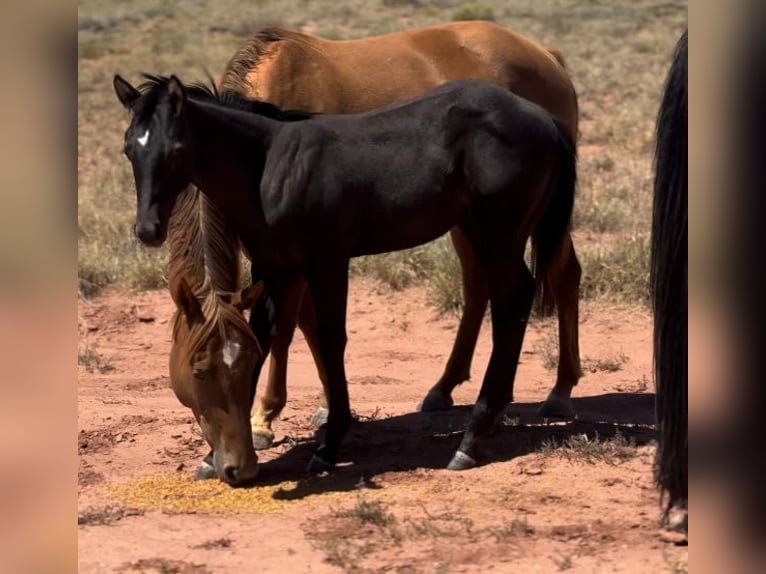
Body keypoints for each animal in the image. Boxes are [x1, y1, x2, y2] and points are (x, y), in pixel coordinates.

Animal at [216, 21, 584, 450]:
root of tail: (545, 55)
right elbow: (302, 324)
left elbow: (291, 326)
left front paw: (268, 417)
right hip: (474, 223)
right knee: (480, 287)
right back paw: (445, 387)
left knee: (562, 275)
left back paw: (560, 391)